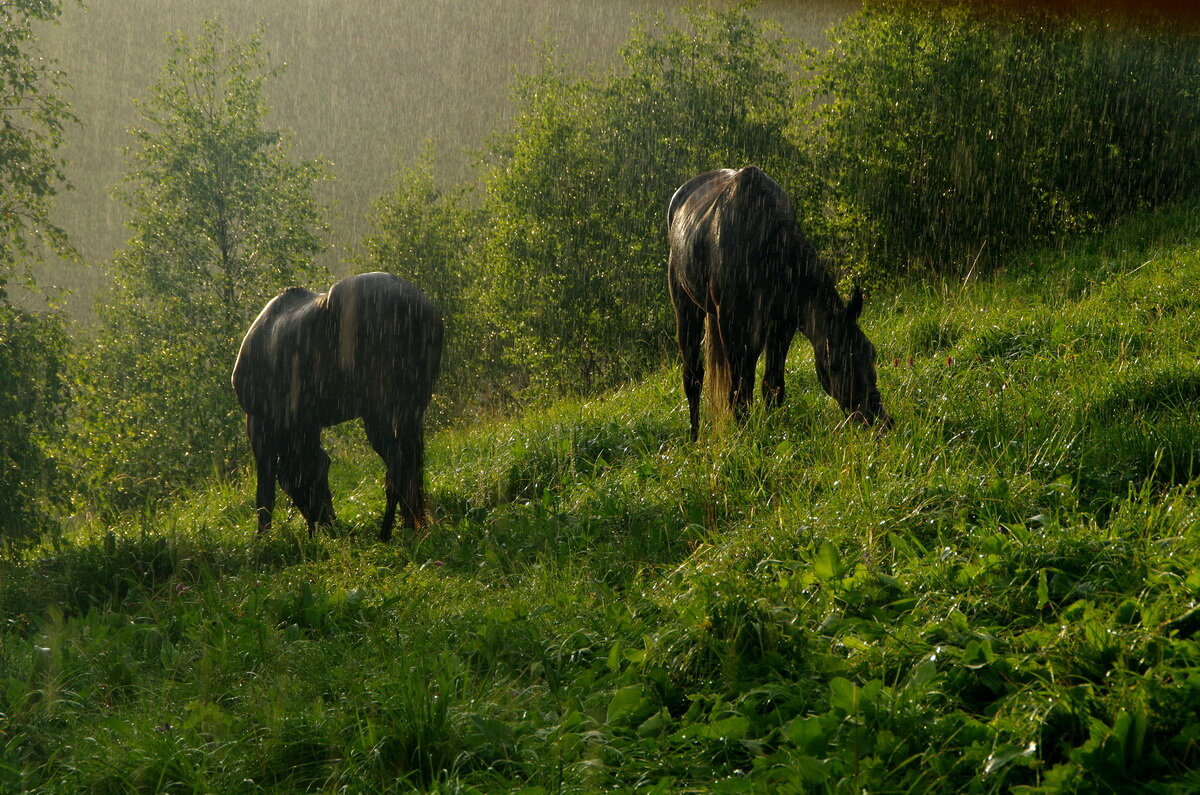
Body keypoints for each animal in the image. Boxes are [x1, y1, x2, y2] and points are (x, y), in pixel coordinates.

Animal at [231, 272, 444, 542]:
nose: (329, 525)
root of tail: (416, 306)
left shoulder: (258, 424)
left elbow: (264, 493)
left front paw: (263, 540)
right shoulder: (308, 424)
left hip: (379, 410)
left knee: (396, 467)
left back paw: (387, 532)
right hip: (412, 407)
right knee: (411, 467)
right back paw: (412, 526)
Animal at [672, 168, 888, 441]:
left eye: (871, 352)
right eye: (836, 364)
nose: (878, 419)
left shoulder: (783, 323)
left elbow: (772, 384)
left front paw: (773, 430)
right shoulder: (734, 326)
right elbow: (739, 393)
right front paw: (744, 439)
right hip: (686, 309)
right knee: (693, 378)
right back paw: (695, 438)